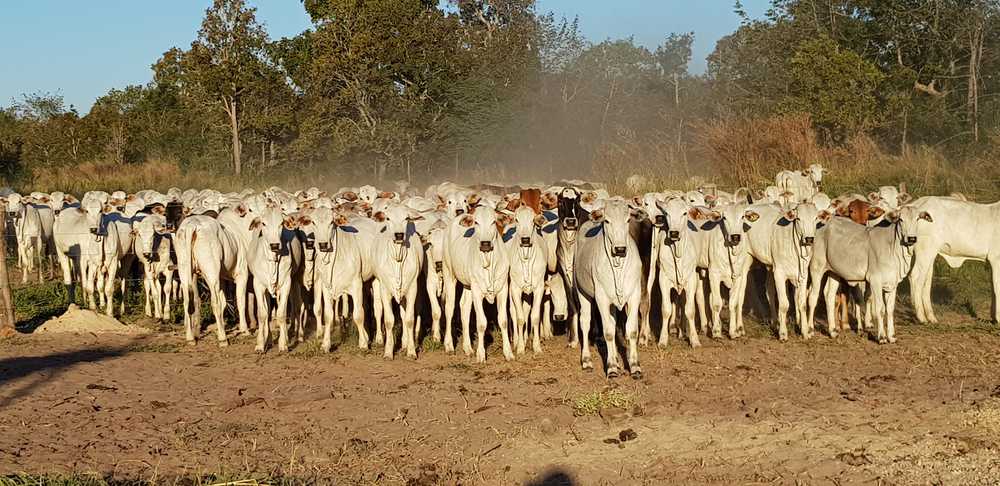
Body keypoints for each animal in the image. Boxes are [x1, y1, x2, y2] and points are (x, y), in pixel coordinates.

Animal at [574, 199, 646, 377]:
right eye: (607, 221)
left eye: (628, 220)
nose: (620, 249)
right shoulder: (602, 298)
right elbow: (608, 333)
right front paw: (611, 366)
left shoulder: (634, 295)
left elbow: (631, 330)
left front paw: (634, 366)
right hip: (582, 292)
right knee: (585, 323)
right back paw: (587, 361)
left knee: (612, 324)